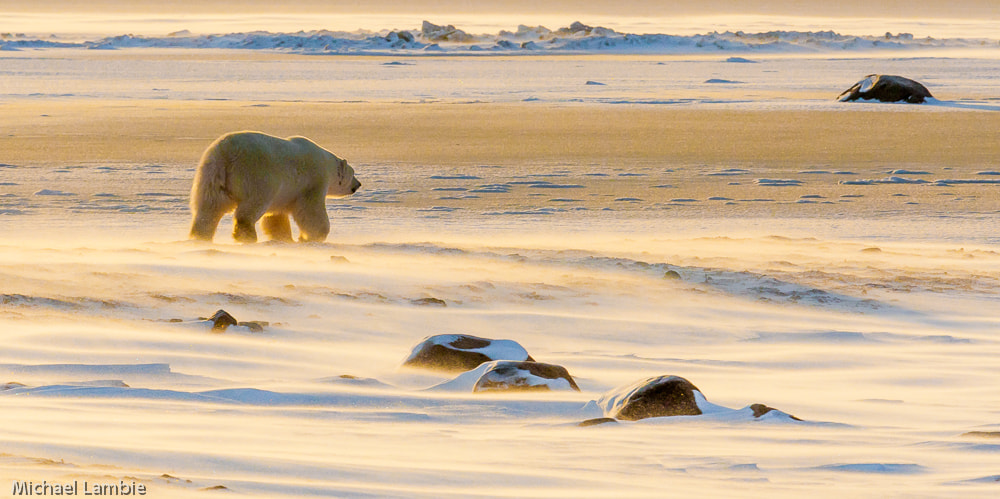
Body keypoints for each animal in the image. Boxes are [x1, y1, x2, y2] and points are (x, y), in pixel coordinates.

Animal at [188, 132, 360, 243]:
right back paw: (247, 235)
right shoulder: (313, 180)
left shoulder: (283, 194)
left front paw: (284, 237)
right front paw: (311, 236)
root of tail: (226, 153)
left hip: (211, 173)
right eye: (353, 173)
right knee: (252, 205)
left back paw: (200, 235)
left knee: (209, 207)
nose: (358, 185)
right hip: (257, 175)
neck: (326, 163)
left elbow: (276, 216)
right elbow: (311, 210)